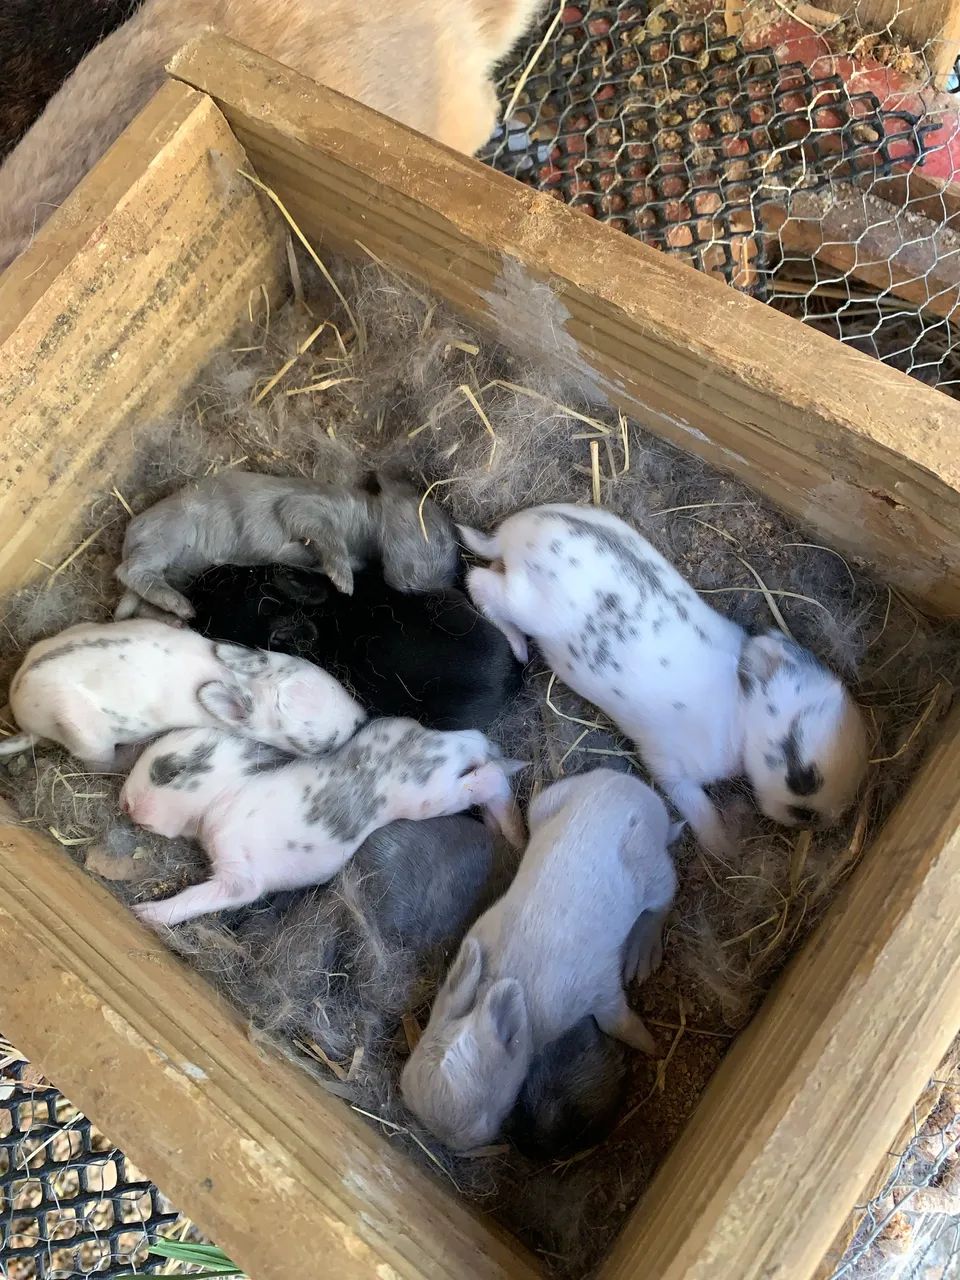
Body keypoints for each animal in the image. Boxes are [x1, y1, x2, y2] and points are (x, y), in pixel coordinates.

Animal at [461, 503, 869, 856]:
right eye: (799, 775)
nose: (820, 821)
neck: (742, 712)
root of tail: (514, 531)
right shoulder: (673, 770)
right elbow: (701, 813)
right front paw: (726, 847)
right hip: (524, 603)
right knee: (478, 582)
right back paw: (518, 648)